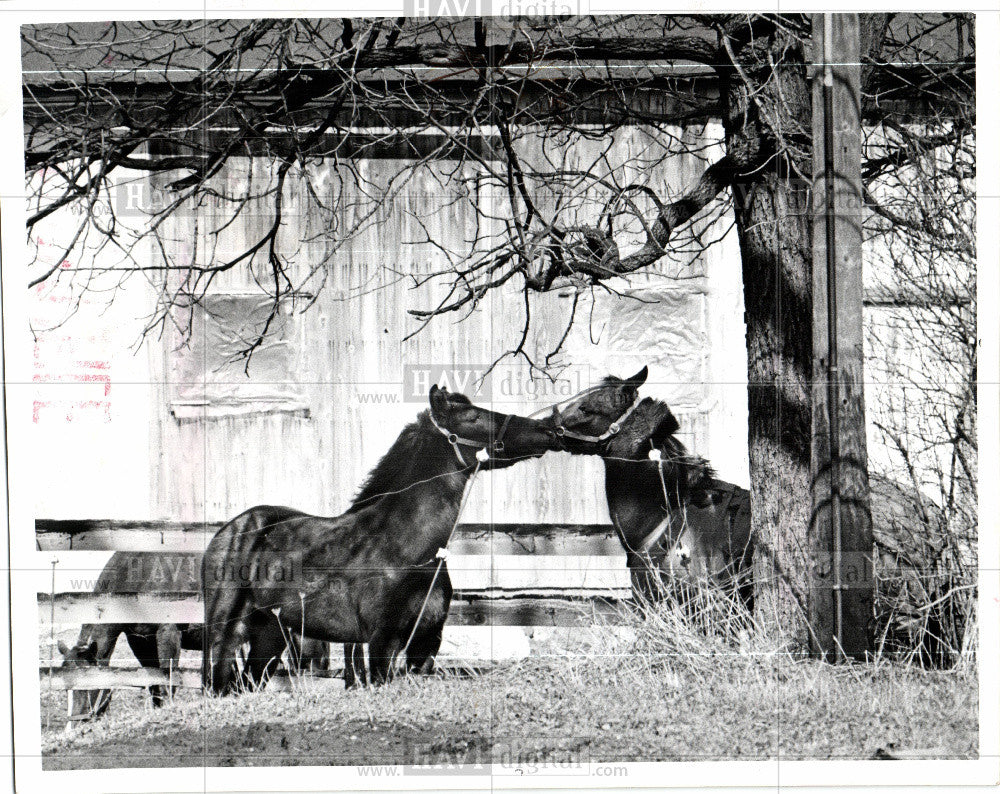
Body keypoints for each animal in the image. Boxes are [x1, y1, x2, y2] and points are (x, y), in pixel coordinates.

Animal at [199, 386, 560, 688]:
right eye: (473, 417)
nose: (548, 430)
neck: (406, 547)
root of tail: (228, 531)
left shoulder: (425, 644)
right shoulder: (381, 641)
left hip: (269, 635)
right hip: (224, 633)